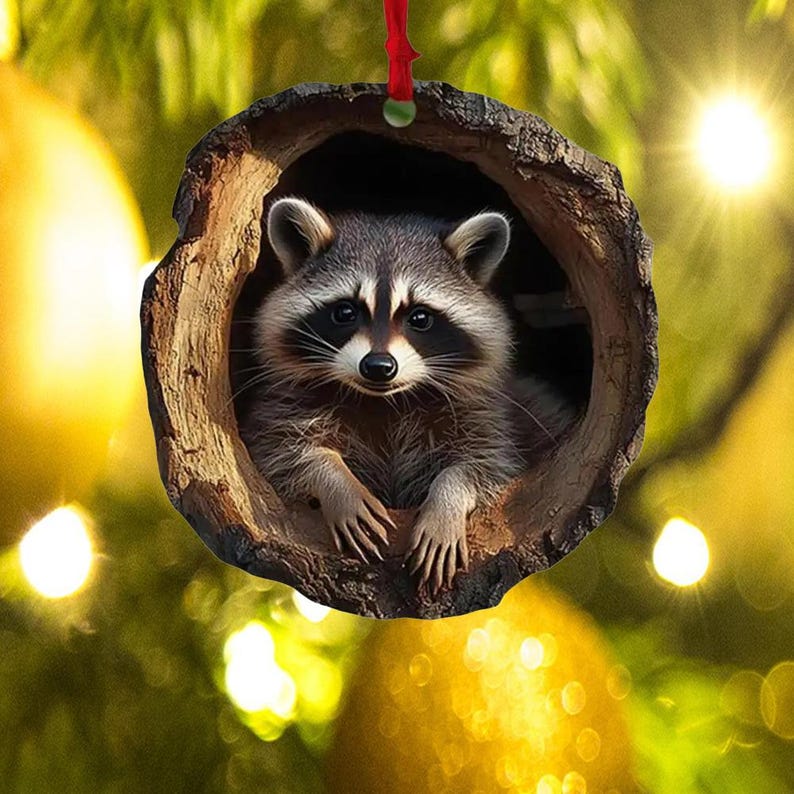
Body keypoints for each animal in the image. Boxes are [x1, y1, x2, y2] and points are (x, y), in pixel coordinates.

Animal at [238, 197, 574, 594]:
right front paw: (334, 479)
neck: (386, 400)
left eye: (420, 317)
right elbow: (279, 451)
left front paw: (447, 500)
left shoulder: (487, 414)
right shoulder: (285, 404)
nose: (378, 366)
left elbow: (487, 465)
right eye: (345, 311)